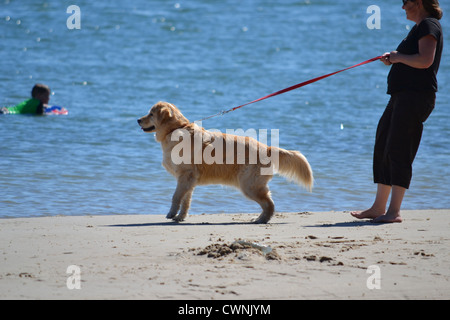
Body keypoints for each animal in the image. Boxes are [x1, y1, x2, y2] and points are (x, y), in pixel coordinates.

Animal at [137, 101, 312, 224]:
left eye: (151, 114)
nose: (138, 120)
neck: (175, 130)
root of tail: (267, 148)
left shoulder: (185, 175)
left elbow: (176, 197)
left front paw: (171, 213)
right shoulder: (188, 180)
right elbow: (186, 200)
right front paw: (180, 217)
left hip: (249, 185)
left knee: (269, 204)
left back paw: (261, 220)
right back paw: (258, 218)